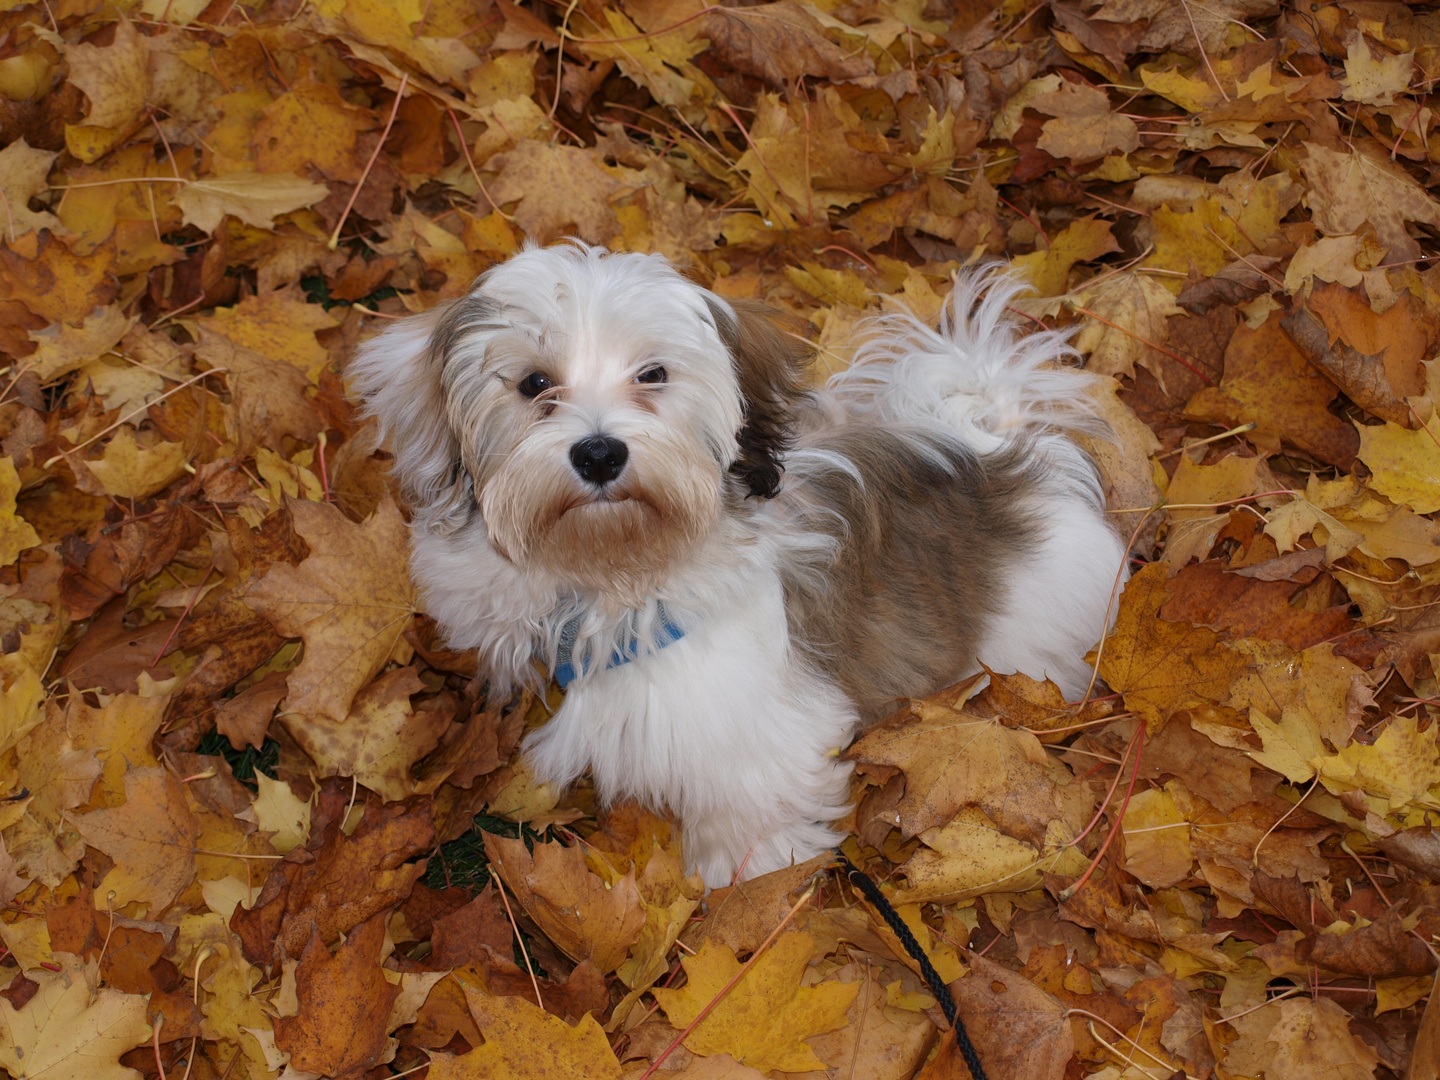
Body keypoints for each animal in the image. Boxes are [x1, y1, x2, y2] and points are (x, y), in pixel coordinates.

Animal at [345, 243, 1123, 887]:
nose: (598, 452)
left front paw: (743, 882)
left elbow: (750, 804)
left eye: (652, 375)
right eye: (534, 384)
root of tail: (1003, 452)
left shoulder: (751, 722)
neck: (616, 573)